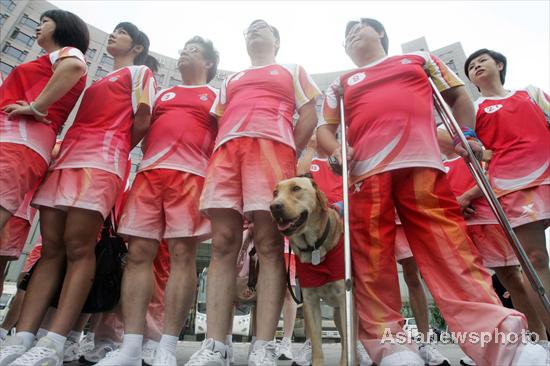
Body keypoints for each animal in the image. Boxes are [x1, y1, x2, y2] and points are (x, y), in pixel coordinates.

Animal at [272, 177, 350, 366]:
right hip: (336, 314)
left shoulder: (344, 298)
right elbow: (316, 341)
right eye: (275, 193)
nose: (273, 206)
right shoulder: (310, 301)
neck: (314, 246)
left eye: (296, 188)